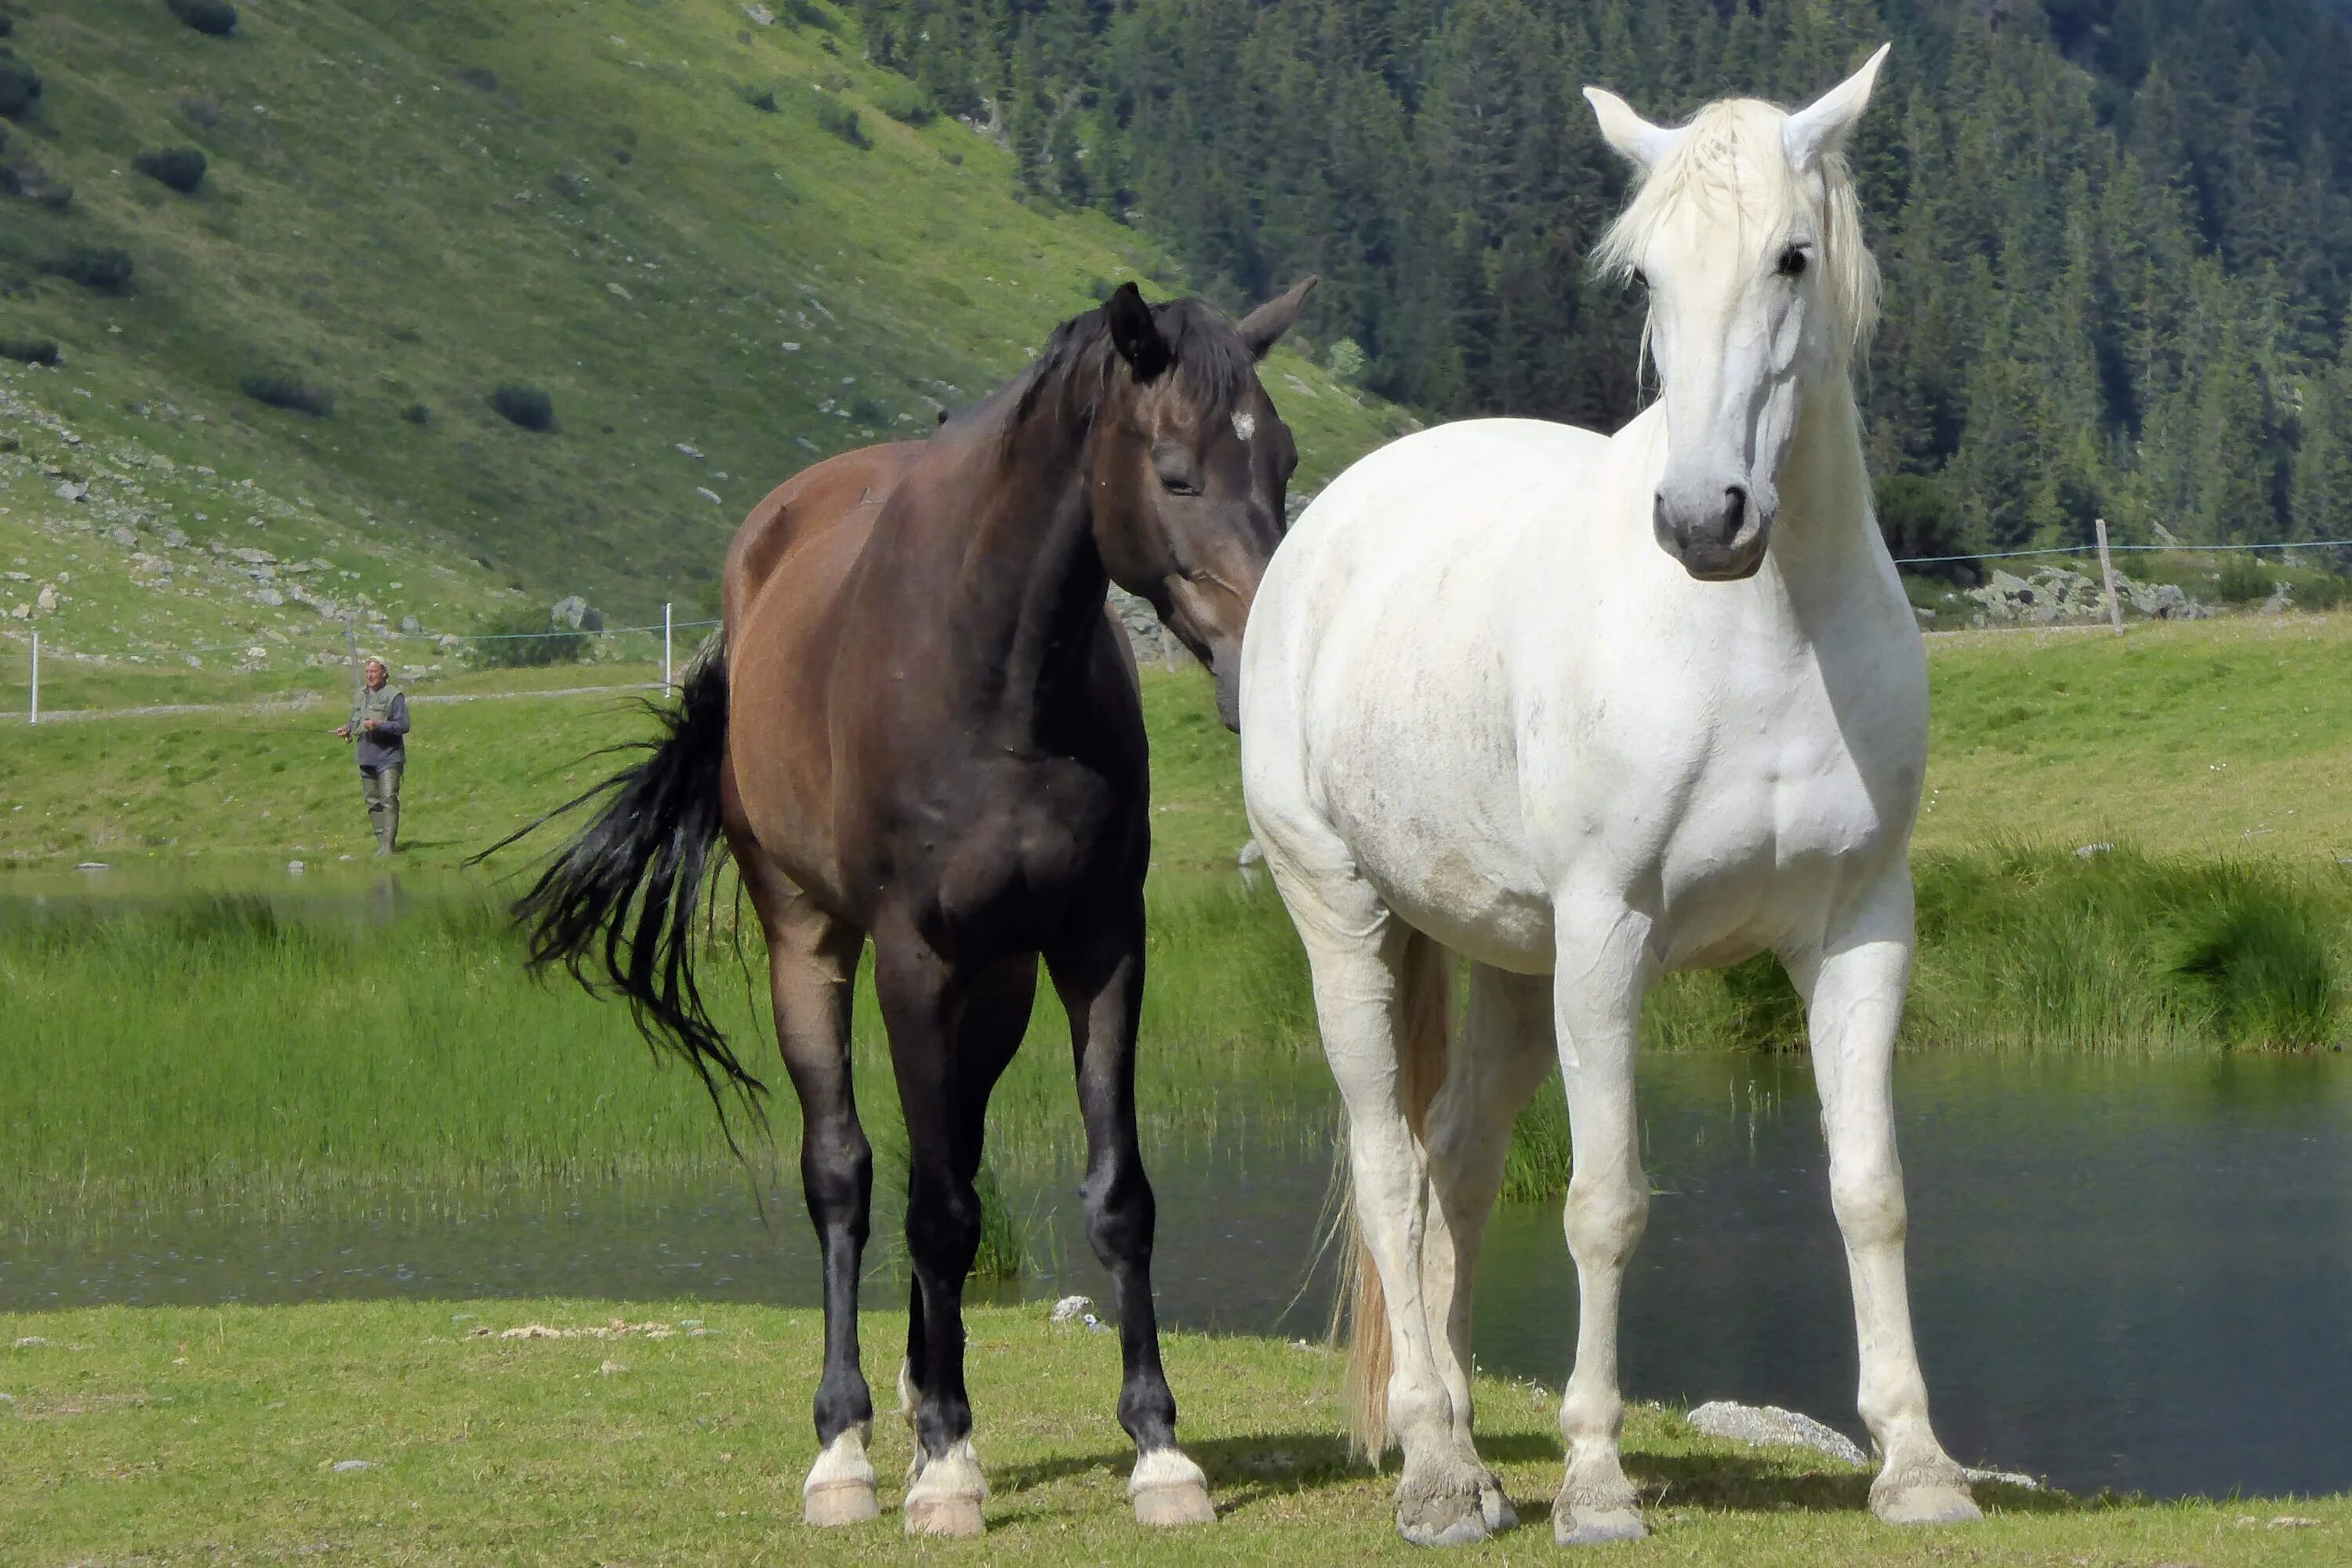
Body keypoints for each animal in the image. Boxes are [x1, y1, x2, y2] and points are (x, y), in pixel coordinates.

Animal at [513, 278, 1317, 1533]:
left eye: (1281, 462)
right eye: (1178, 471)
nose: (1266, 662)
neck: (996, 683)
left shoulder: (1099, 947)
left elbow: (1112, 1196)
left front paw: (1157, 1448)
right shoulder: (913, 959)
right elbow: (924, 1205)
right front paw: (941, 1467)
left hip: (996, 991)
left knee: (952, 1160)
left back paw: (922, 1389)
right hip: (816, 948)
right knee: (847, 1174)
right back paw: (849, 1440)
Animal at [1242, 45, 1976, 1542]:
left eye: (1792, 256)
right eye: (1646, 276)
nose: (1704, 520)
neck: (1760, 638)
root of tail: (1329, 522)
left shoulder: (1863, 932)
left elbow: (1869, 1192)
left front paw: (1918, 1463)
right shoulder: (1608, 937)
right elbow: (1603, 1205)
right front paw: (1594, 1479)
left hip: (1511, 966)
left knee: (1457, 1161)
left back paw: (1462, 1443)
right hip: (1347, 918)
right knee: (1390, 1166)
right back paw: (1440, 1470)